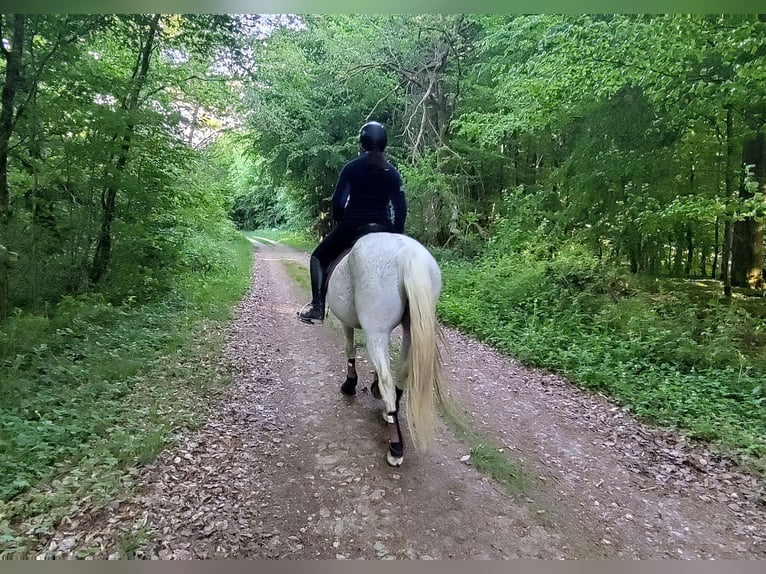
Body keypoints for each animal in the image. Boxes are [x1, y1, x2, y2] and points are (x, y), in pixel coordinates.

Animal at [325, 231, 448, 467]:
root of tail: (408, 254)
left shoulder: (346, 322)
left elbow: (349, 348)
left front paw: (350, 384)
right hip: (411, 327)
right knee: (402, 370)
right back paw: (390, 411)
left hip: (376, 330)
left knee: (387, 379)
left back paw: (395, 447)